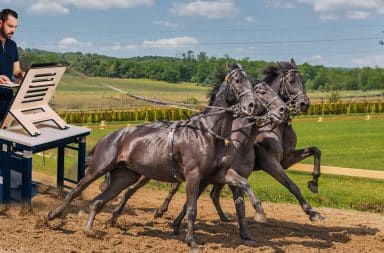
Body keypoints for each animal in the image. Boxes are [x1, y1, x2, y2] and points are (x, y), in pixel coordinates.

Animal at [46, 63, 264, 251]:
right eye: (237, 80)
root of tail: (110, 136)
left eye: (252, 82)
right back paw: (53, 215)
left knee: (98, 201)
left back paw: (89, 229)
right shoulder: (193, 175)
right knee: (76, 191)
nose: (252, 106)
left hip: (125, 177)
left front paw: (259, 212)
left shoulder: (218, 173)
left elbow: (244, 182)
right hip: (98, 168)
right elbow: (192, 208)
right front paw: (191, 241)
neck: (208, 133)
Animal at [154, 58, 322, 221]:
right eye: (291, 81)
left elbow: (315, 150)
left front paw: (314, 185)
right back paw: (161, 210)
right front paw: (311, 210)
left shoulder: (286, 159)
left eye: (303, 80)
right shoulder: (269, 161)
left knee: (213, 193)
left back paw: (223, 217)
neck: (273, 127)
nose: (304, 103)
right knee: (176, 186)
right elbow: (291, 184)